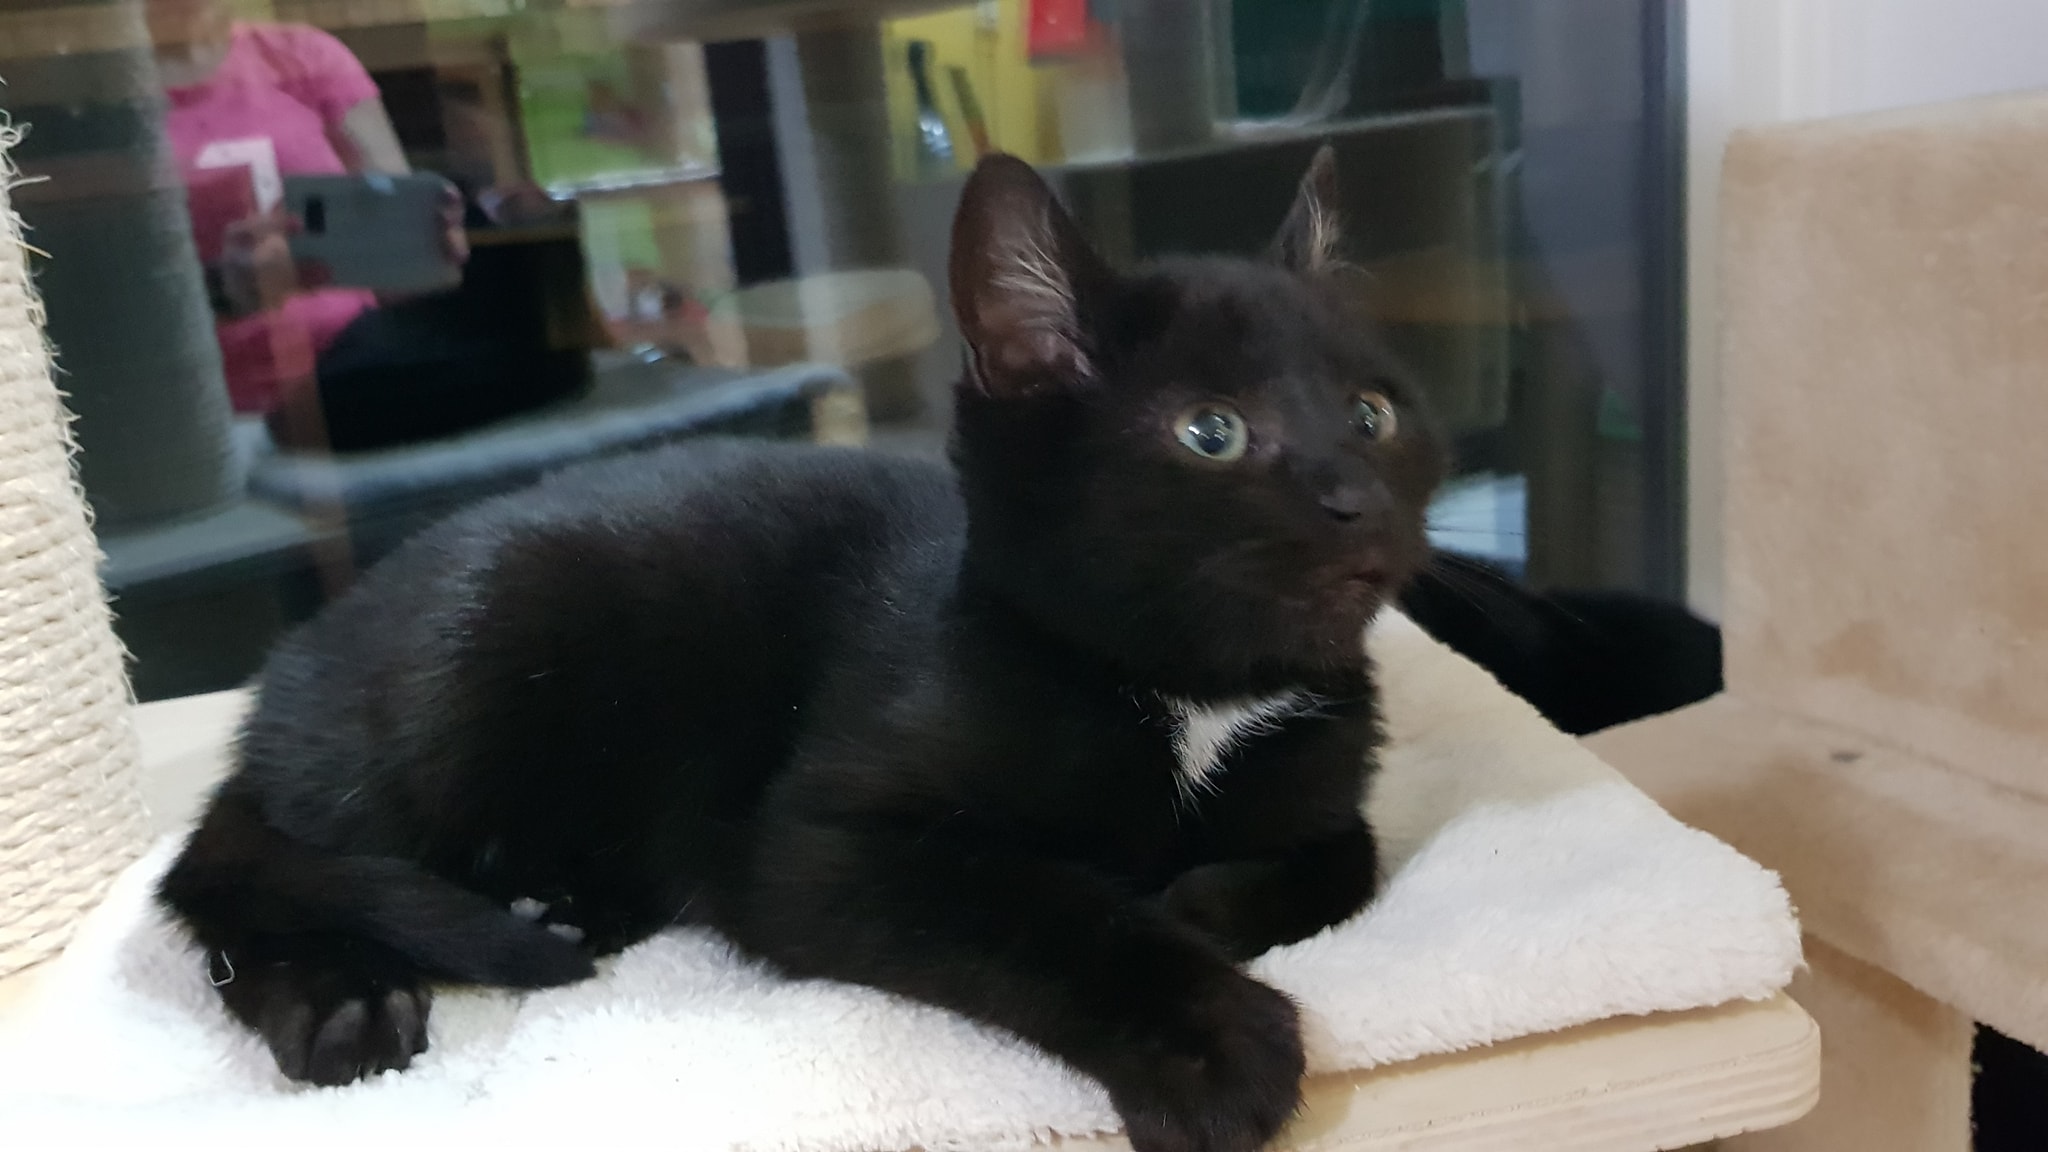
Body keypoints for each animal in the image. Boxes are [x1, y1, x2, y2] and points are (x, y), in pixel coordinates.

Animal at [158, 148, 1447, 1152]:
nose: (1357, 504)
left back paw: (559, 908)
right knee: (237, 877)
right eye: (1210, 432)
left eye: (1373, 415)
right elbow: (1034, 904)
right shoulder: (813, 844)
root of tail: (292, 670)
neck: (1189, 694)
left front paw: (1206, 902)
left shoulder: (1325, 765)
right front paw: (1208, 1038)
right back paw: (341, 1004)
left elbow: (1347, 855)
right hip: (471, 658)